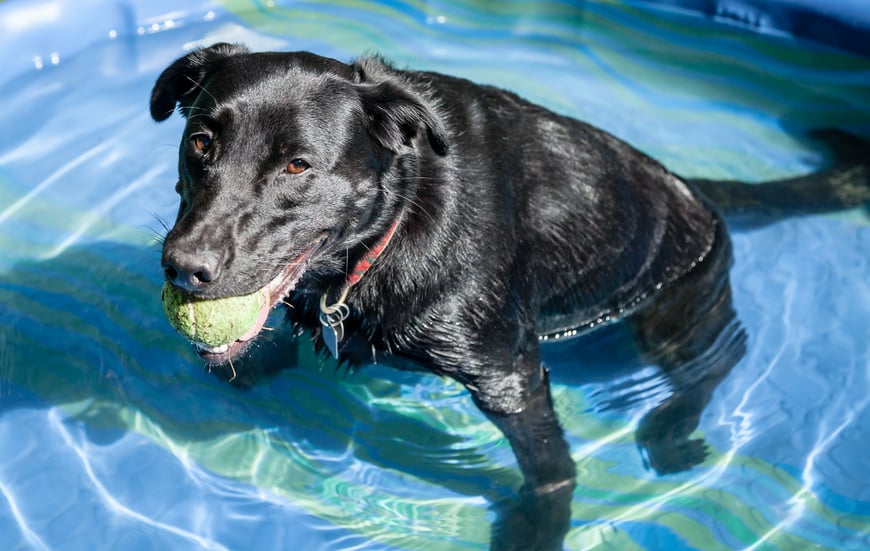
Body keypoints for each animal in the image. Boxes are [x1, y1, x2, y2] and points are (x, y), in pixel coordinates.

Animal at [152, 42, 870, 548]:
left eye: (297, 165)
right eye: (200, 142)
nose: (183, 268)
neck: (398, 220)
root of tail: (698, 191)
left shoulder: (508, 373)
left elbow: (552, 467)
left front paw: (540, 529)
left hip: (676, 310)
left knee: (722, 357)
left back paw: (671, 427)